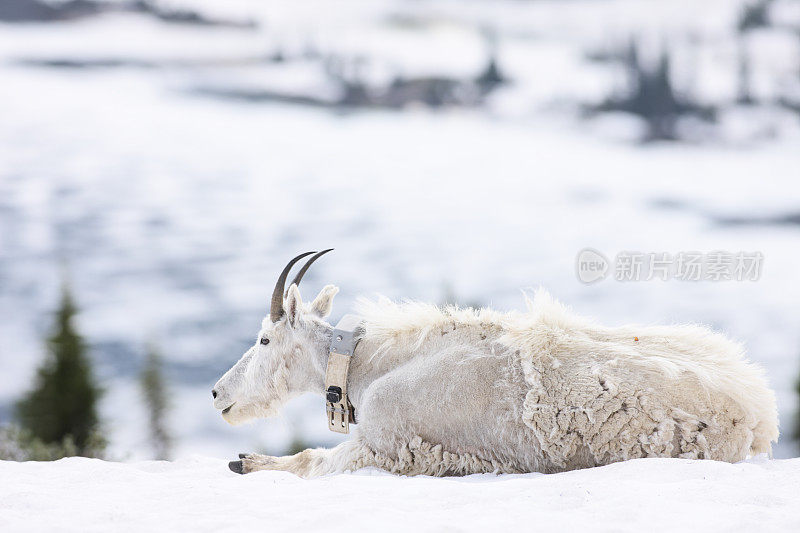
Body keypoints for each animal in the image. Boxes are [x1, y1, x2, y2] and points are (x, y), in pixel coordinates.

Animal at [214, 251, 780, 476]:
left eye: (264, 339)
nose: (219, 394)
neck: (370, 368)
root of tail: (761, 417)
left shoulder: (388, 446)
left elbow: (310, 460)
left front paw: (247, 462)